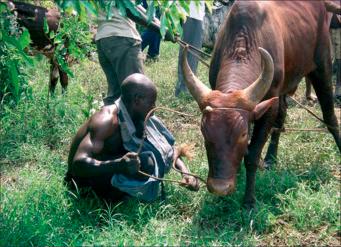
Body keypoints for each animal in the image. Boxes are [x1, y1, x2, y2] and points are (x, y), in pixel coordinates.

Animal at [182, 0, 338, 207]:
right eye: (205, 132)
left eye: (242, 133)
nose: (220, 187)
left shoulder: (267, 109)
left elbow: (253, 154)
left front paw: (249, 200)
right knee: (282, 115)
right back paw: (271, 157)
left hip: (322, 65)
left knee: (330, 117)